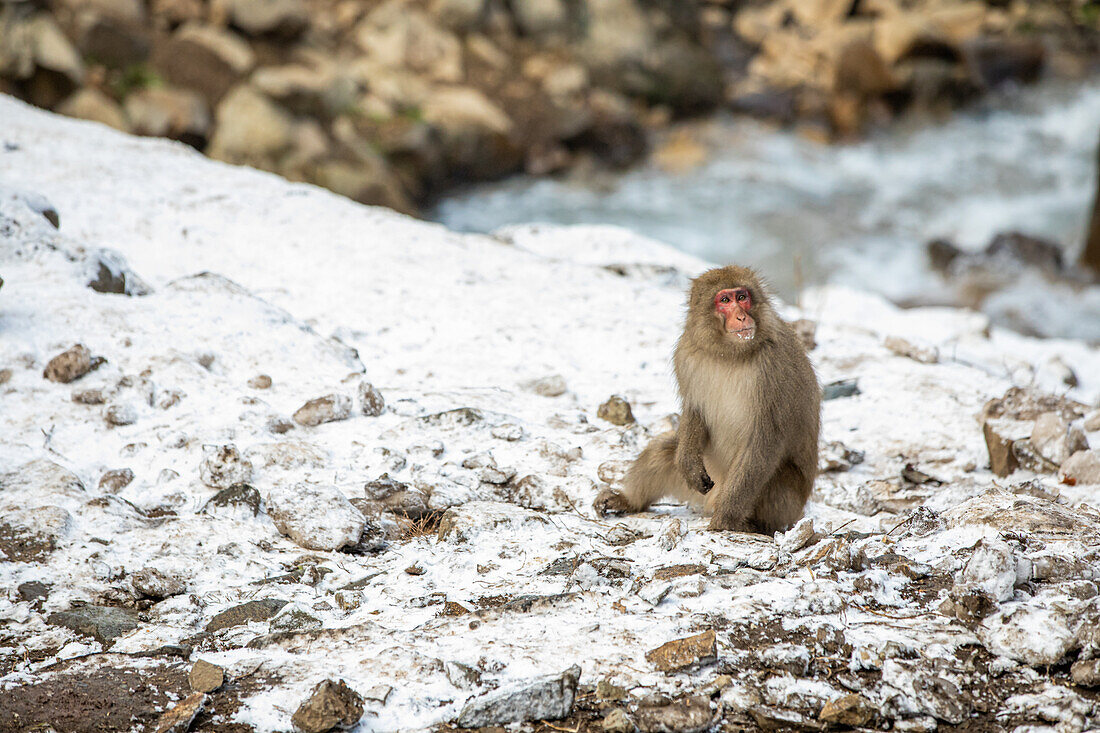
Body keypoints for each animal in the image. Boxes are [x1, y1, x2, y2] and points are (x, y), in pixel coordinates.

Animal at [598, 264, 822, 530]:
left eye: (742, 297)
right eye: (725, 300)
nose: (741, 317)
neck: (729, 354)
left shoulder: (775, 367)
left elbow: (764, 439)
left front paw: (725, 518)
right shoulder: (686, 355)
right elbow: (694, 410)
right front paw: (688, 465)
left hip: (786, 504)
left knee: (774, 478)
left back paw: (751, 524)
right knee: (664, 450)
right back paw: (628, 501)